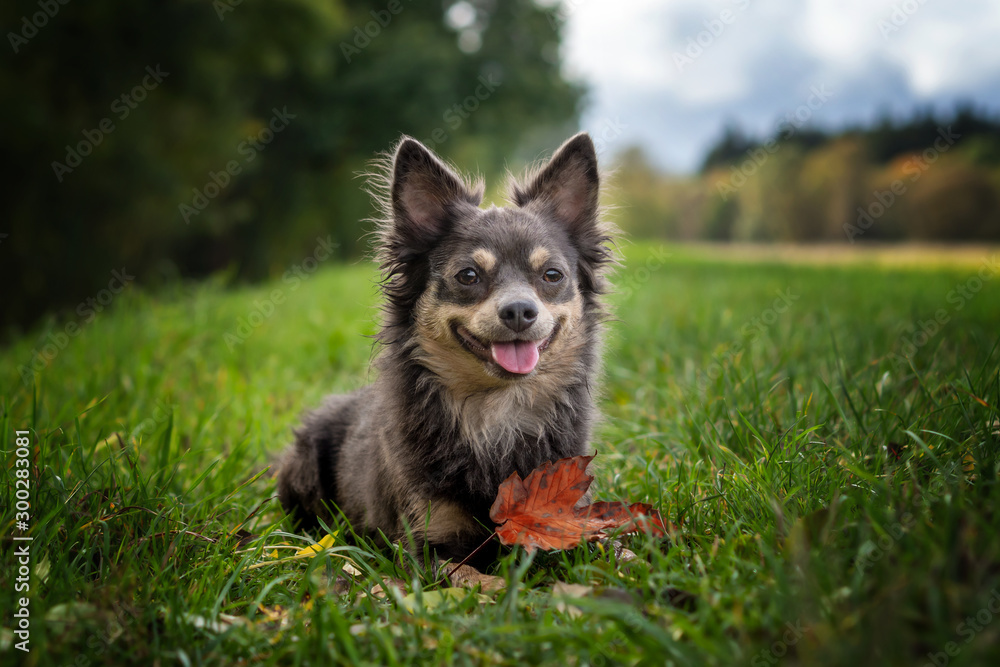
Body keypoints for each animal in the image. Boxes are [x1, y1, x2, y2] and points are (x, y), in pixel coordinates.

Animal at [278, 133, 612, 568]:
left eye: (552, 275)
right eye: (467, 275)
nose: (520, 310)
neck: (497, 413)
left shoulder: (566, 523)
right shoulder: (431, 543)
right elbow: (475, 579)